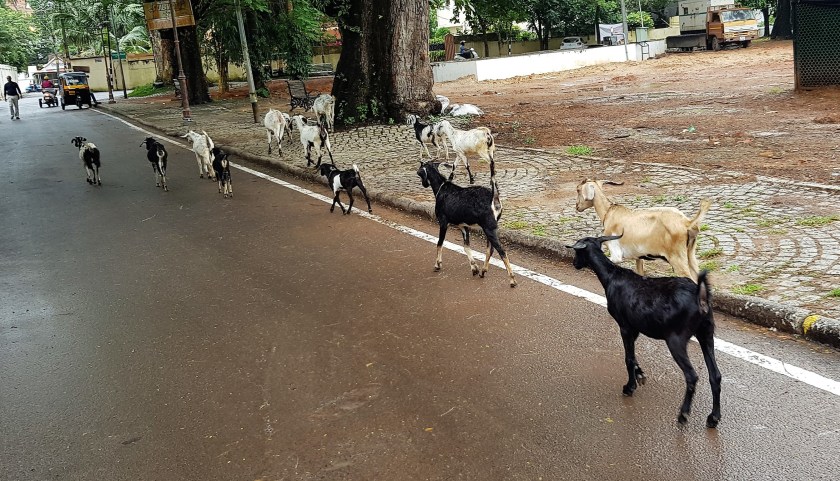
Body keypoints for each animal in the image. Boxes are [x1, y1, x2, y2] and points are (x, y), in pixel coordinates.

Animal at [566, 234, 722, 428]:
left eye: (576, 251)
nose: (574, 263)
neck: (611, 277)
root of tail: (700, 298)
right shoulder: (636, 327)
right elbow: (633, 357)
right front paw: (640, 374)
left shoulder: (624, 326)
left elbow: (628, 358)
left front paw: (629, 387)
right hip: (706, 334)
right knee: (715, 375)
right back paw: (713, 417)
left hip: (676, 339)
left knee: (692, 376)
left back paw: (683, 414)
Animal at [575, 179, 711, 281]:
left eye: (578, 190)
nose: (577, 206)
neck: (609, 212)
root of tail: (687, 223)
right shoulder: (638, 257)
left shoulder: (616, 253)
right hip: (690, 255)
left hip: (677, 258)